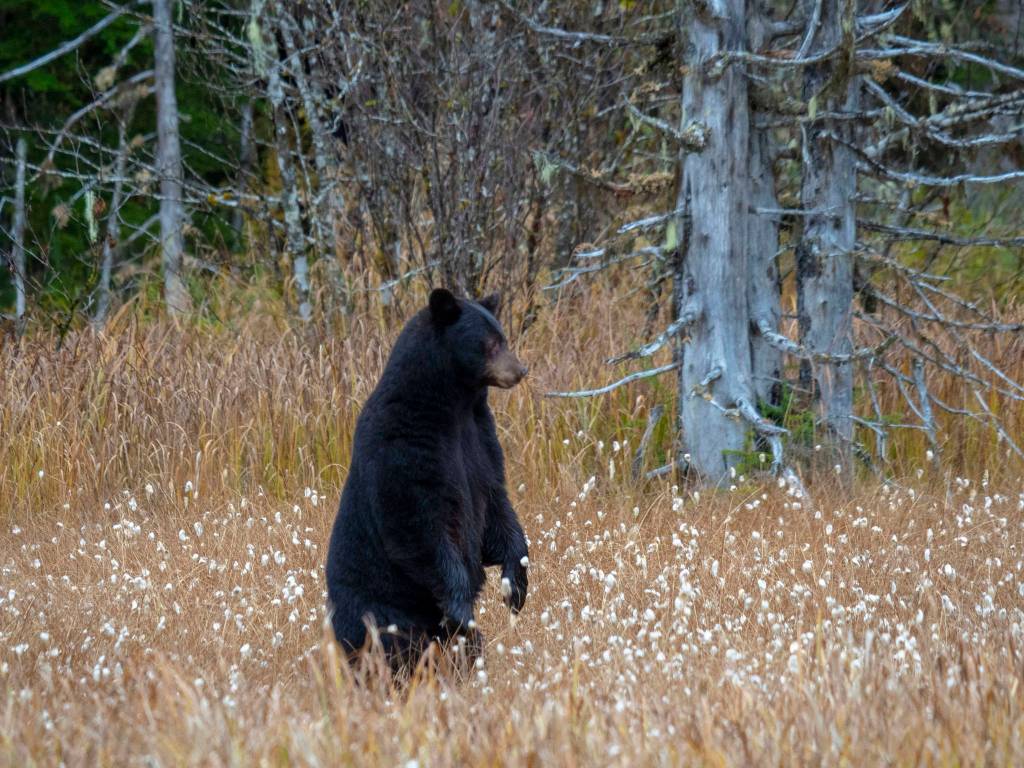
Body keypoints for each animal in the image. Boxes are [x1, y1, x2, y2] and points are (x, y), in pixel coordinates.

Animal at [326, 288, 530, 673]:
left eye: (503, 337)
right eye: (491, 343)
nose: (520, 370)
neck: (452, 405)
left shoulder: (481, 440)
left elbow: (498, 508)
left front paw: (517, 586)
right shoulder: (403, 445)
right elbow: (419, 526)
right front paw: (461, 608)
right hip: (382, 609)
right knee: (393, 645)